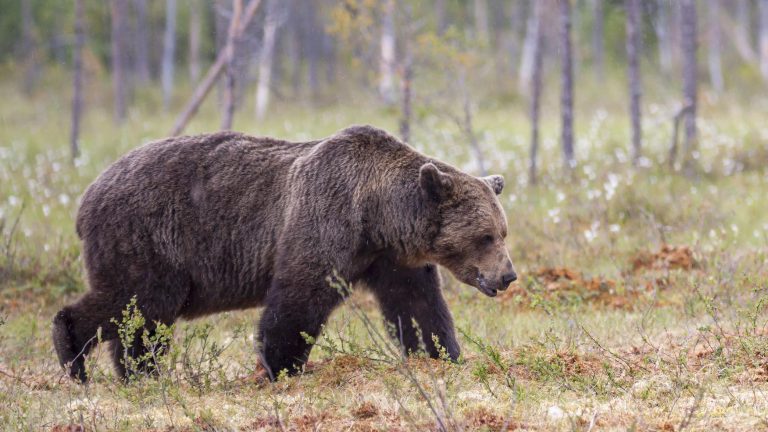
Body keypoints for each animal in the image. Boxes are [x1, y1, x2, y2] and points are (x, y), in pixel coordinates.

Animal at [49, 125, 516, 382]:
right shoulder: (325, 222)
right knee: (138, 301)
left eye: (502, 232)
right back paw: (74, 353)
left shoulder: (390, 259)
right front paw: (279, 366)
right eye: (487, 236)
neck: (377, 215)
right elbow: (297, 300)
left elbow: (417, 308)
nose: (508, 275)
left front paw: (442, 353)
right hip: (148, 237)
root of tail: (88, 194)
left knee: (139, 319)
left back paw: (136, 373)